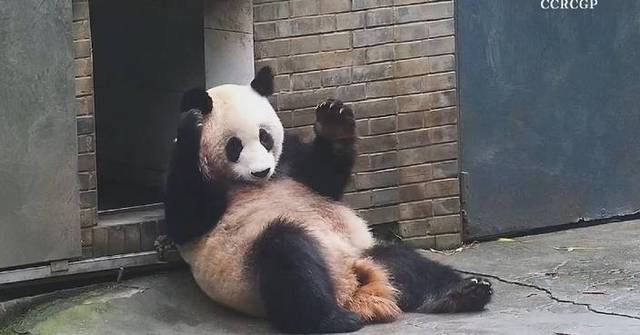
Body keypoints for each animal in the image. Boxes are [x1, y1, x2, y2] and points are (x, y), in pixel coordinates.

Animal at [164, 67, 490, 334]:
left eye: (265, 137)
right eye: (235, 146)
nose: (261, 171)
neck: (249, 183)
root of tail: (351, 286)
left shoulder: (290, 160)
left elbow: (324, 179)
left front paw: (334, 120)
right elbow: (186, 219)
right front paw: (190, 125)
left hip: (362, 251)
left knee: (406, 263)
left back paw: (464, 291)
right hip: (251, 268)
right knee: (289, 256)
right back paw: (333, 319)